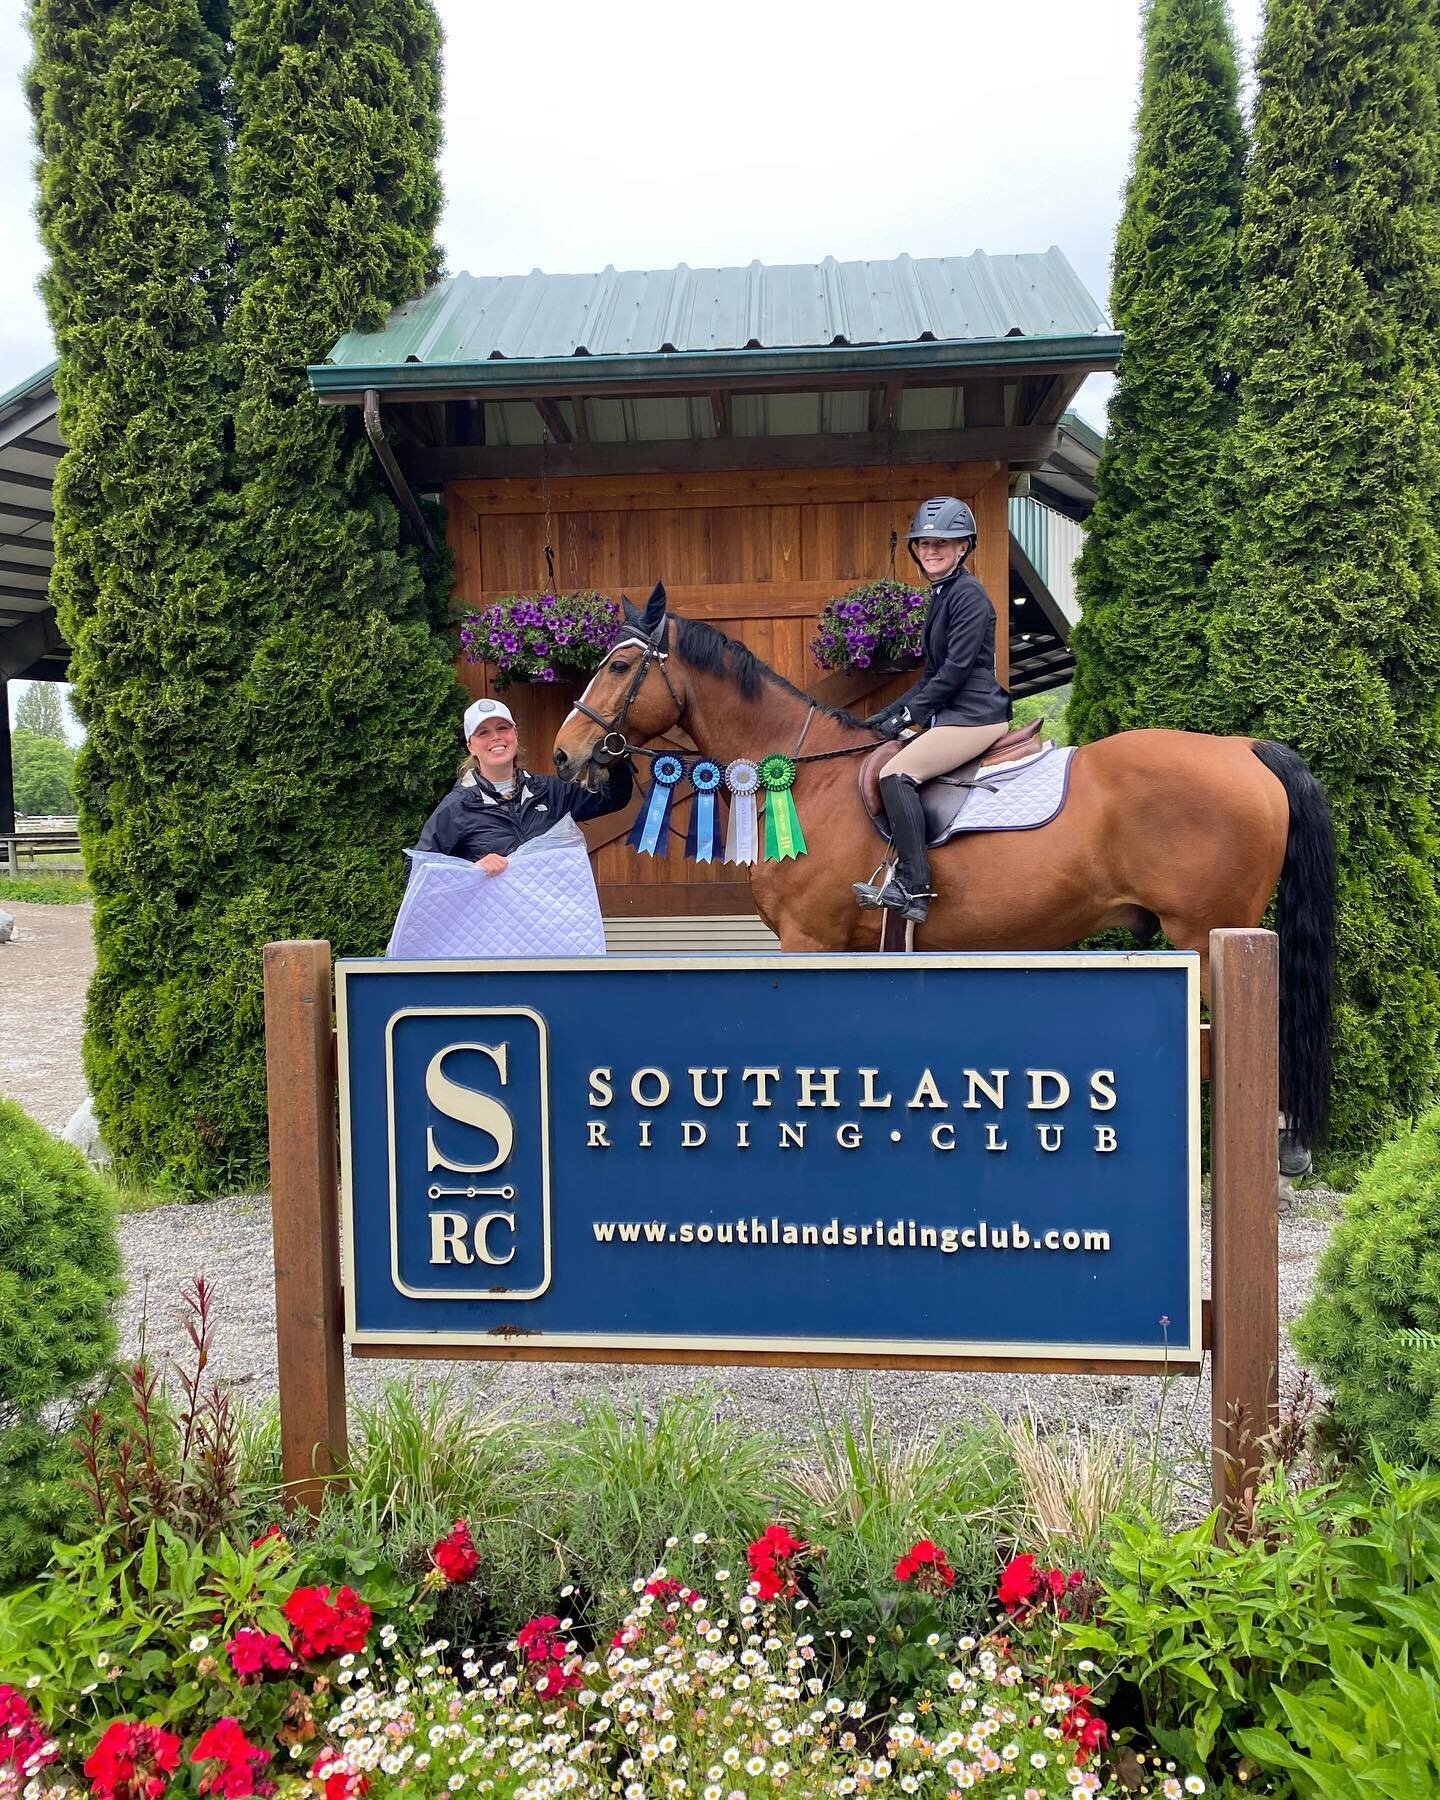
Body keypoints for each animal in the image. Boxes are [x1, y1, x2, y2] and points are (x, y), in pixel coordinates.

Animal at [554, 586, 1339, 1152]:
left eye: (618, 667)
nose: (566, 755)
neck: (807, 775)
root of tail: (1243, 748)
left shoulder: (810, 940)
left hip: (1213, 936)